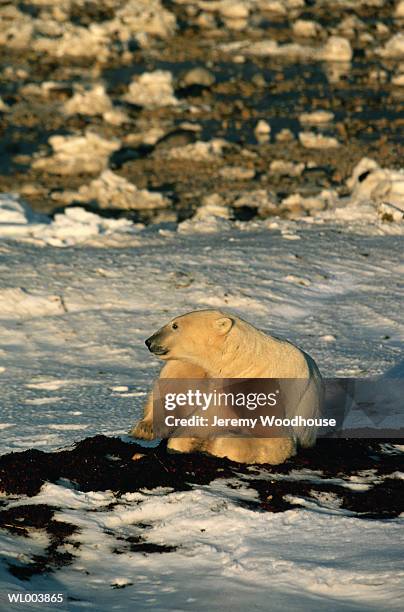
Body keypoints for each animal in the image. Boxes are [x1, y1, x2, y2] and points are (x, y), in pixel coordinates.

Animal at [130, 310, 326, 464]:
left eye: (175, 326)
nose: (148, 341)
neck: (245, 362)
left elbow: (273, 438)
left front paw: (207, 444)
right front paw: (190, 440)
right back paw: (146, 427)